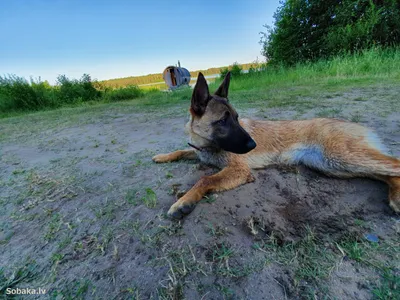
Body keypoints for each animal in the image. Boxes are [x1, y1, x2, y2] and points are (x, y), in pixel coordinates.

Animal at [152, 71, 400, 219]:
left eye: (237, 118)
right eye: (222, 120)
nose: (253, 144)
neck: (207, 145)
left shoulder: (239, 170)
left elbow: (205, 179)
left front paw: (184, 201)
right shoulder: (198, 152)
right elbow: (181, 150)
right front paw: (163, 156)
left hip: (343, 157)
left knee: (394, 165)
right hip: (335, 166)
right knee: (385, 173)